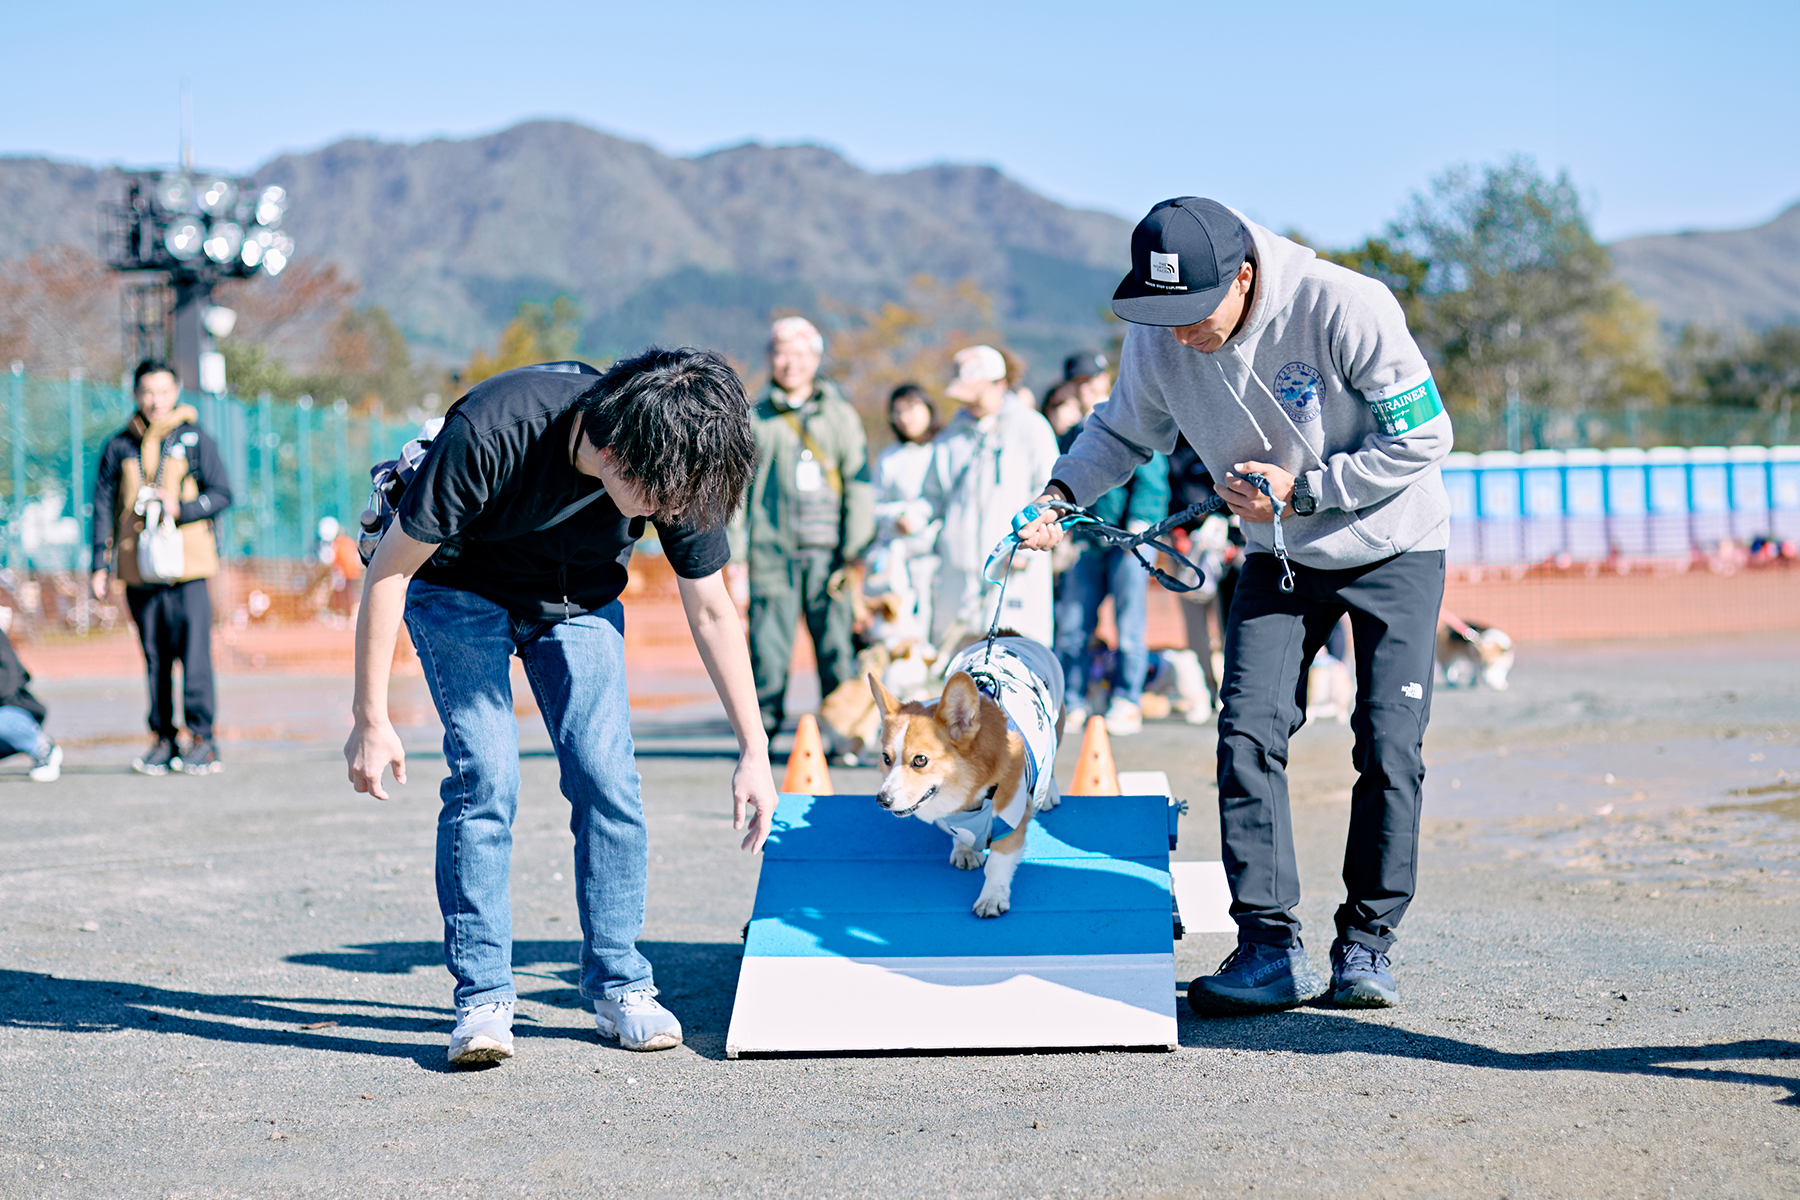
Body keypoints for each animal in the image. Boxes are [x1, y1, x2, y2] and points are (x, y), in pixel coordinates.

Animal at [864, 636, 1058, 921]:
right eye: (886, 758)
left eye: (920, 760)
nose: (882, 800)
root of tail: (1009, 635)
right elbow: (963, 835)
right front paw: (966, 850)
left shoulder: (1011, 825)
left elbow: (997, 865)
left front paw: (991, 899)